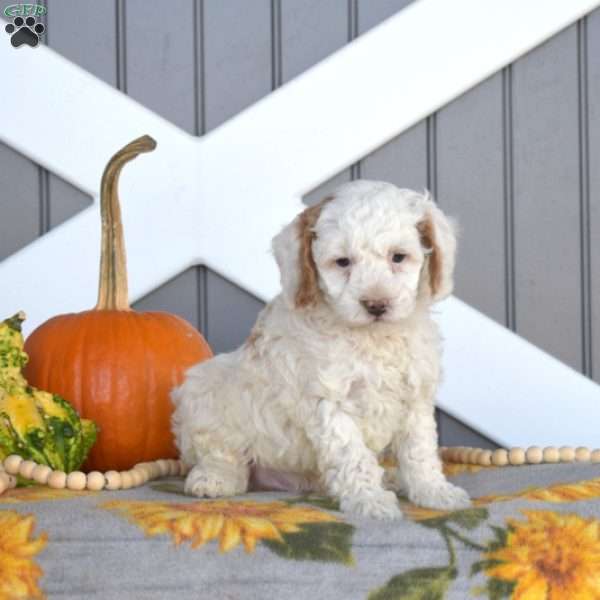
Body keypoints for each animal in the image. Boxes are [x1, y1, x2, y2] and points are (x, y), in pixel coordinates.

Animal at [171, 180, 472, 516]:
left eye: (398, 257)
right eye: (343, 262)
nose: (376, 304)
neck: (372, 337)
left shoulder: (415, 397)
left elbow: (420, 450)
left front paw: (434, 491)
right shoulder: (331, 401)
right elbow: (353, 455)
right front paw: (370, 500)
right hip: (204, 387)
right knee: (221, 452)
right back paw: (215, 478)